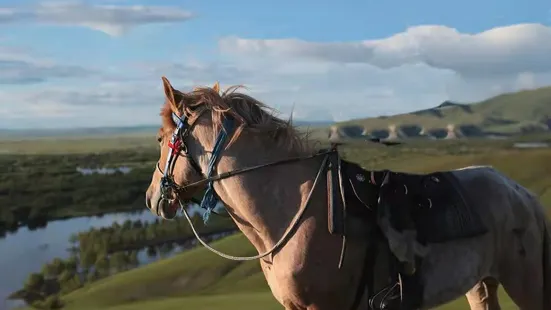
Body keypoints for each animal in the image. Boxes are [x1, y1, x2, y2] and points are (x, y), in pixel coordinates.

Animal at [146, 75, 551, 310]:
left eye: (161, 139)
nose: (152, 198)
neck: (290, 212)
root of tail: (522, 194)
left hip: (526, 283)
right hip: (481, 284)